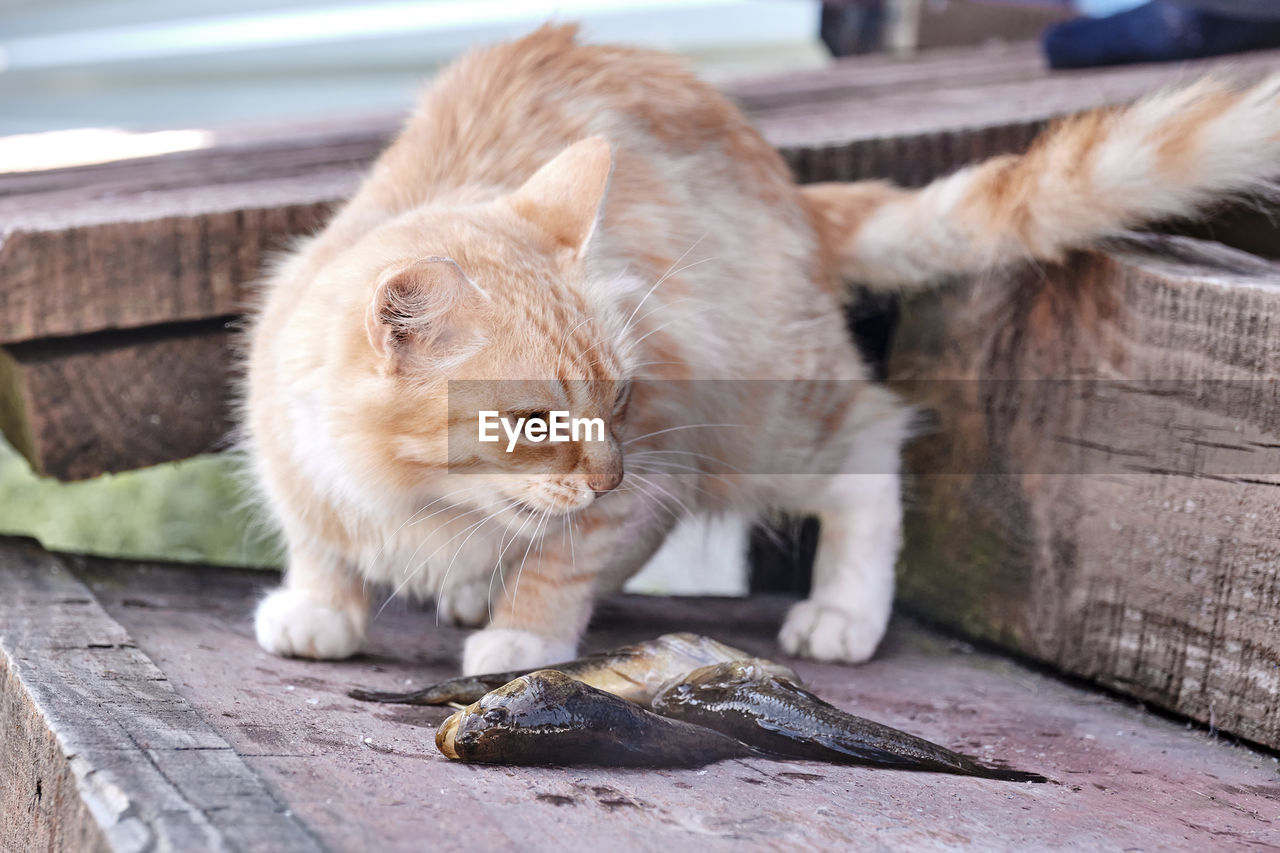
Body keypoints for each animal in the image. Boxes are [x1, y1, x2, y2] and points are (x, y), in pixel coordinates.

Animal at [247, 23, 1280, 671]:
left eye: (618, 400)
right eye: (533, 420)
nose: (606, 472)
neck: (418, 499)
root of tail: (791, 189)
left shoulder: (661, 459)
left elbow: (567, 562)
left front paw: (525, 634)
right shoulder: (296, 463)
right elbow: (319, 541)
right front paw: (322, 606)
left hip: (768, 423)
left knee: (870, 449)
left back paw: (842, 610)